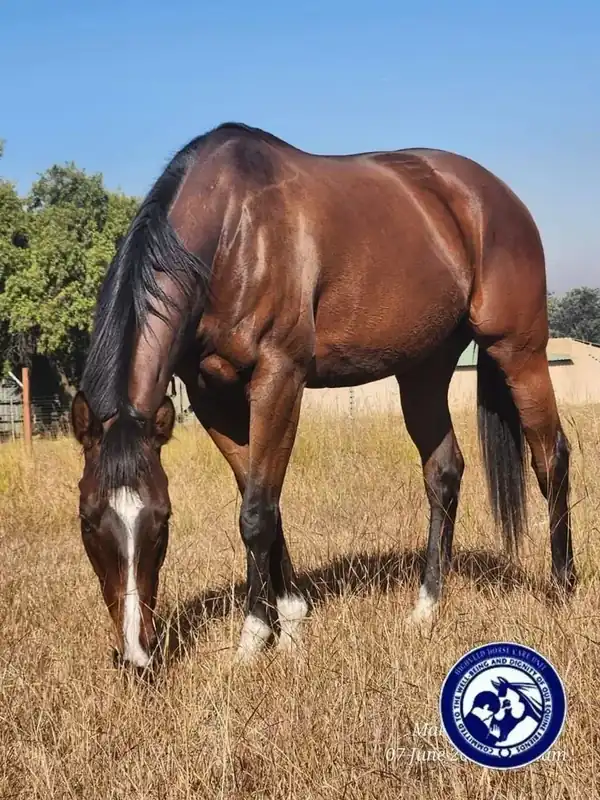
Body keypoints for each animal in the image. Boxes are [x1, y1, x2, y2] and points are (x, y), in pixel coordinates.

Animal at [71, 122, 576, 670]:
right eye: (88, 522)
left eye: (161, 522)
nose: (135, 655)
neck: (230, 232)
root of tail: (496, 195)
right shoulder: (210, 399)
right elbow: (261, 498)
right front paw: (290, 619)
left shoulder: (279, 378)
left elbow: (256, 512)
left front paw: (254, 637)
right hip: (423, 370)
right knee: (443, 472)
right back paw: (426, 607)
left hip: (520, 350)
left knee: (550, 457)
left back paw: (563, 587)